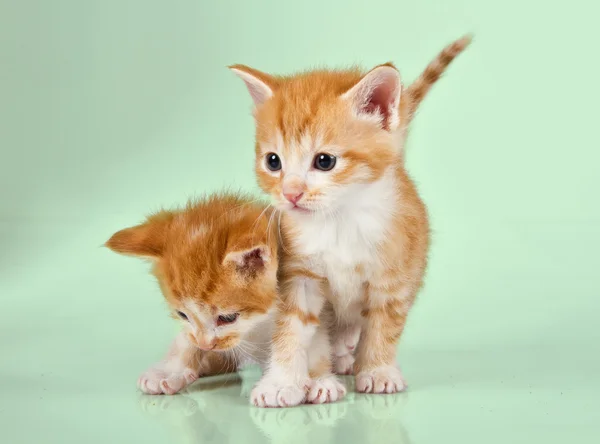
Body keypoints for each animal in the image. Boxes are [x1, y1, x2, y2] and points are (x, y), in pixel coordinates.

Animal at [232, 36, 472, 408]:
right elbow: (291, 328)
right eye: (273, 161)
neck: (338, 220)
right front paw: (281, 382)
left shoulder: (393, 277)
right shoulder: (298, 274)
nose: (291, 194)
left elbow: (383, 327)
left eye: (324, 161)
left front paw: (378, 371)